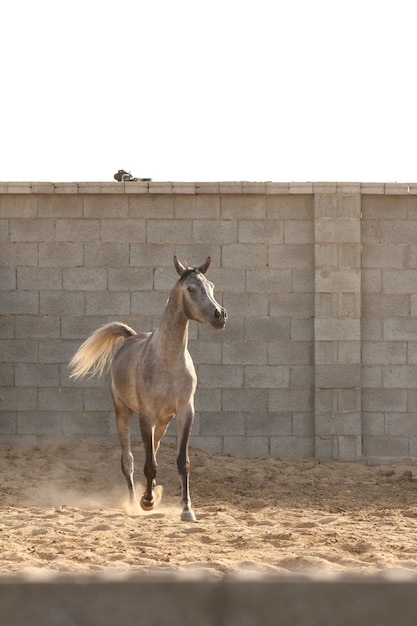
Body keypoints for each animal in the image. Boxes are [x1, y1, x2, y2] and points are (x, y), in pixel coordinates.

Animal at [70, 256, 228, 520]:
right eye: (190, 289)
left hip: (163, 421)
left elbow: (182, 461)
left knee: (153, 449)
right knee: (129, 460)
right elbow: (149, 464)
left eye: (212, 286)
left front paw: (187, 509)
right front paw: (147, 502)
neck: (168, 361)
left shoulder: (185, 412)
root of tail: (129, 338)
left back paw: (152, 490)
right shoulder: (146, 416)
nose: (220, 315)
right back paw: (135, 502)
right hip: (123, 412)